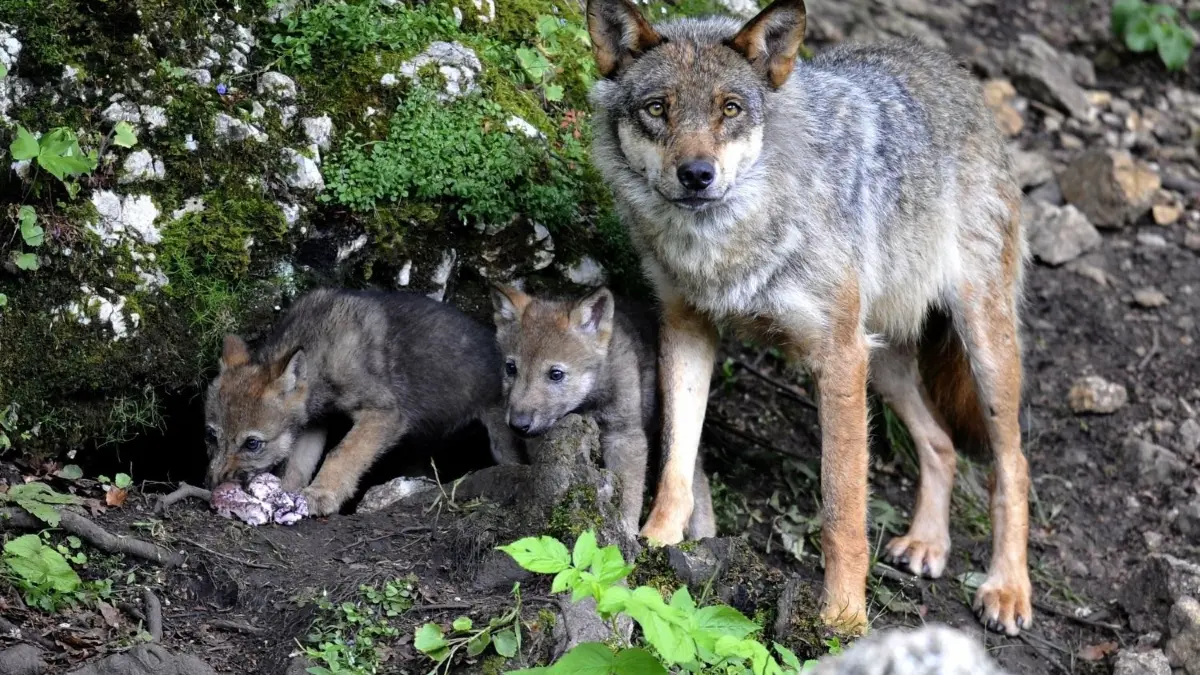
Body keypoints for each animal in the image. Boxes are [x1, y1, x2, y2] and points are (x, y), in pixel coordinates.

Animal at [203, 288, 520, 516]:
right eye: (210, 436)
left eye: (252, 444)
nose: (214, 484)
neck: (319, 348)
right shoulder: (314, 423)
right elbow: (297, 465)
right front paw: (286, 494)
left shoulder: (385, 414)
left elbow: (341, 454)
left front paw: (321, 495)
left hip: (502, 443)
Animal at [490, 283, 716, 538]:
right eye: (511, 368)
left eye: (556, 374)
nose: (518, 424)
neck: (587, 403)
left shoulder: (624, 435)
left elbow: (629, 492)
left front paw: (625, 531)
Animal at [586, 0, 1031, 637]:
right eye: (657, 108)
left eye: (730, 108)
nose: (696, 174)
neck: (726, 244)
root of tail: (952, 70)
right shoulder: (688, 327)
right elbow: (675, 461)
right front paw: (654, 544)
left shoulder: (837, 357)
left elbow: (842, 511)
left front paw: (842, 619)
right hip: (883, 363)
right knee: (941, 444)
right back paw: (927, 543)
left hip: (980, 350)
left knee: (1013, 465)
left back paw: (1007, 589)